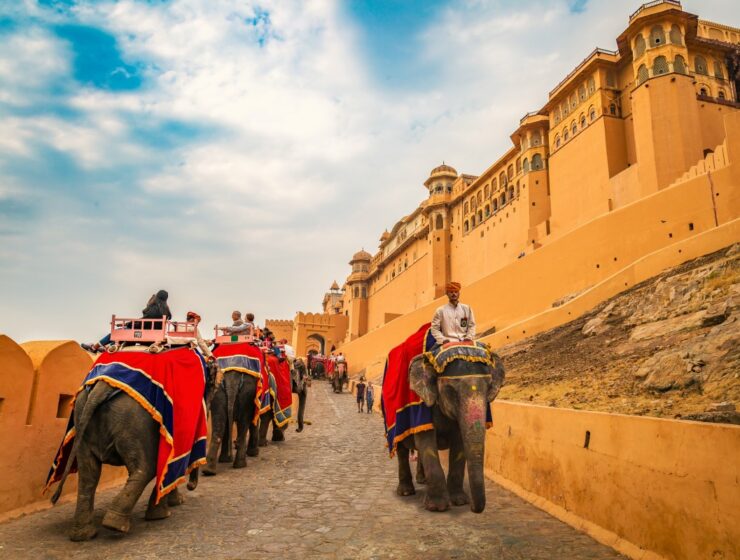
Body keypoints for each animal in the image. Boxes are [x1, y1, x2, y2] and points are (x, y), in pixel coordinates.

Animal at [46, 350, 215, 540]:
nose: (191, 486)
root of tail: (102, 387)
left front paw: (173, 503)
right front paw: (168, 509)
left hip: (84, 413)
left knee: (89, 474)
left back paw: (83, 534)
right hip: (134, 420)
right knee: (145, 469)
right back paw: (115, 525)